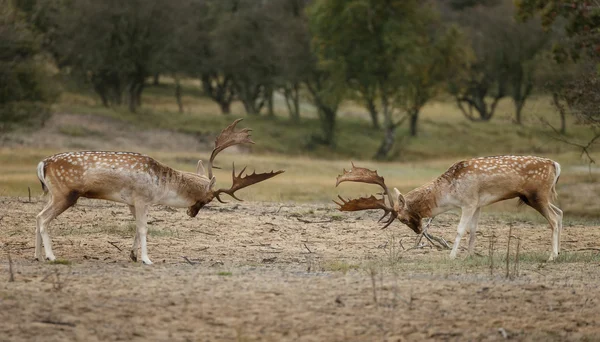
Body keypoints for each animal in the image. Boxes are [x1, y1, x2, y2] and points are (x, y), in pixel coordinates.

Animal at [35, 119, 284, 266]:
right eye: (208, 199)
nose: (192, 213)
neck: (162, 186)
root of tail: (42, 164)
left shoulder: (132, 202)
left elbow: (136, 228)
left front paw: (133, 255)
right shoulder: (142, 198)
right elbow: (144, 228)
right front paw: (147, 259)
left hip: (53, 194)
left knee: (37, 216)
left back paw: (37, 255)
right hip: (66, 194)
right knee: (44, 219)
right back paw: (51, 256)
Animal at [336, 156, 564, 260]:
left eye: (402, 218)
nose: (419, 231)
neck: (448, 192)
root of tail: (556, 165)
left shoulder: (469, 201)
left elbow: (460, 230)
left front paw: (452, 256)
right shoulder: (478, 204)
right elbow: (473, 230)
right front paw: (469, 255)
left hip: (537, 195)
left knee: (554, 219)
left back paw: (551, 256)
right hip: (541, 197)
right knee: (560, 213)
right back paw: (559, 253)